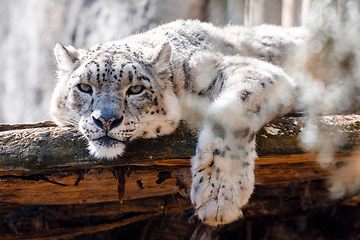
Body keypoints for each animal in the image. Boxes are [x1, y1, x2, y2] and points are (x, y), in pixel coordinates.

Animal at [50, 19, 306, 226]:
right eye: (84, 87)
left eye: (136, 89)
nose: (105, 120)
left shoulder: (253, 70)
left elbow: (232, 110)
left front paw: (218, 194)